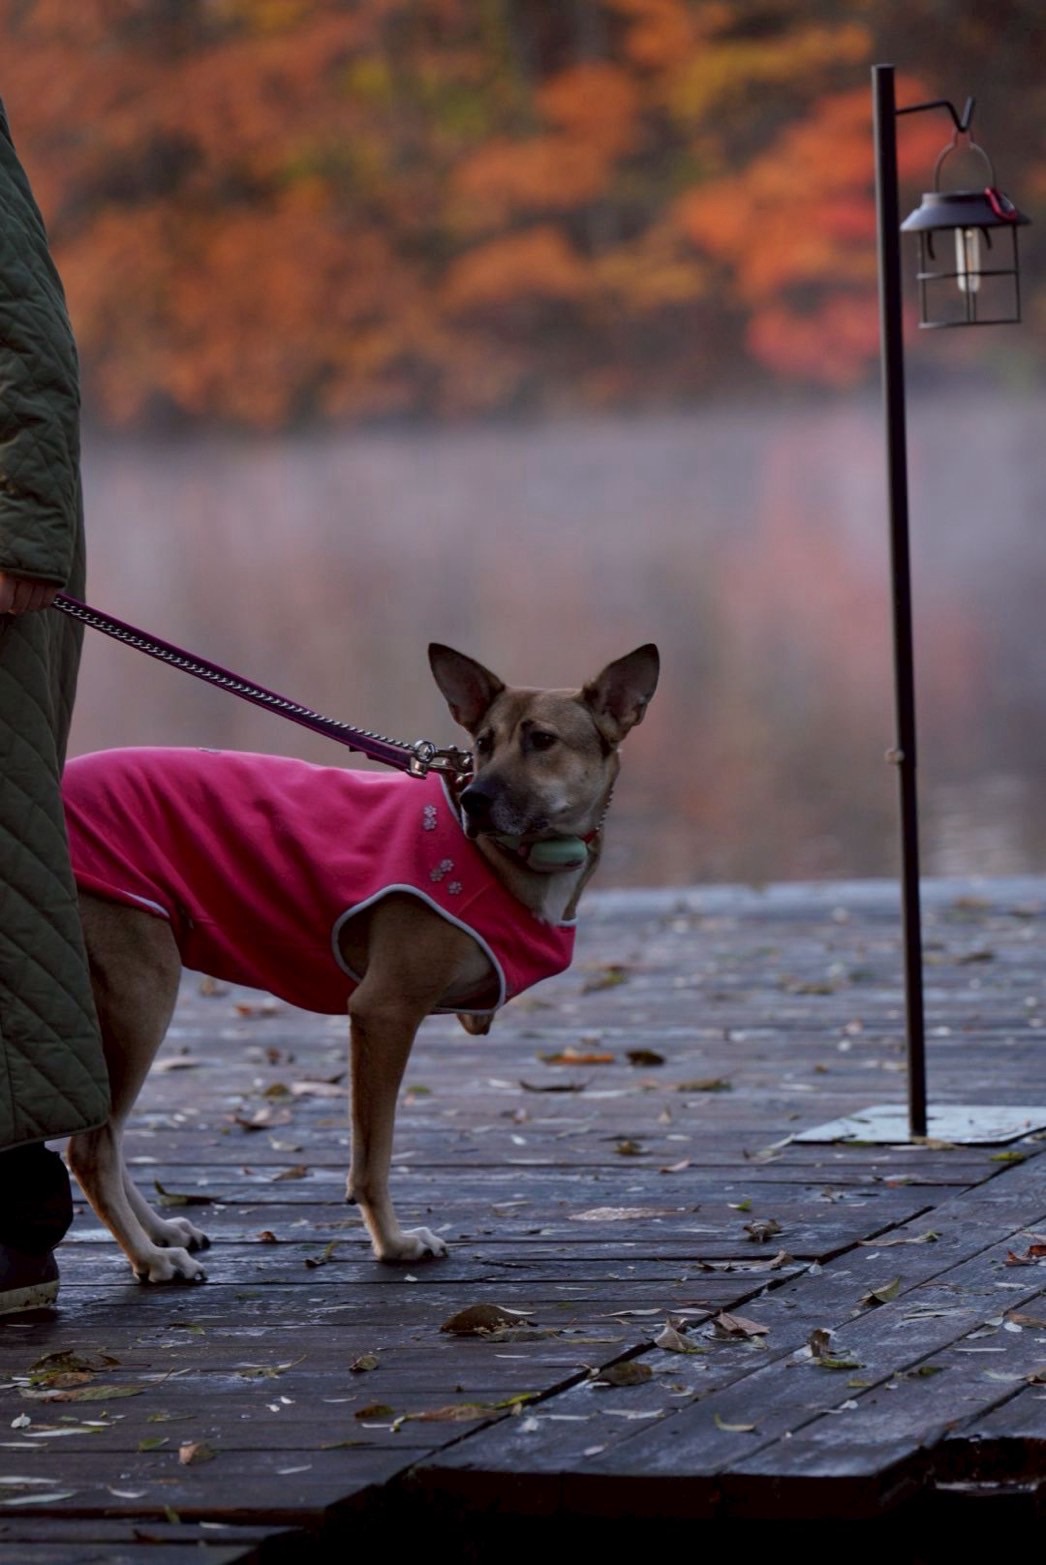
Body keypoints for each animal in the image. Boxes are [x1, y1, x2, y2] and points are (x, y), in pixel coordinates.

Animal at [62, 641, 659, 1282]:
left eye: (542, 740)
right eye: (482, 742)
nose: (473, 799)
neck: (505, 859)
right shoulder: (383, 1012)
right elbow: (373, 1155)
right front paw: (393, 1244)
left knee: (109, 1134)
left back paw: (157, 1232)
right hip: (140, 994)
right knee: (91, 1148)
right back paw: (149, 1257)